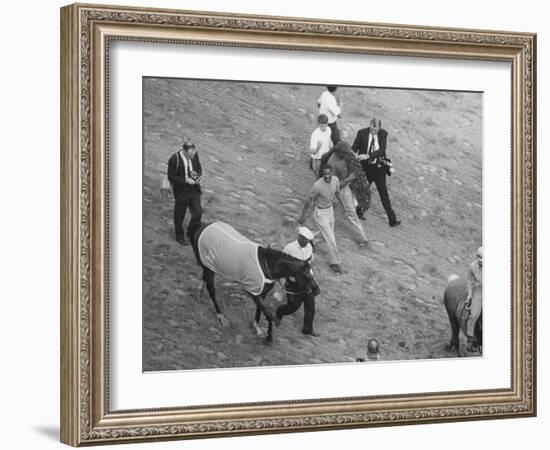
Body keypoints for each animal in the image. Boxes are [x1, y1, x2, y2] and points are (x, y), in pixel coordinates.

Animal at [189, 220, 322, 342]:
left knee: (204, 278)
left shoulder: (262, 292)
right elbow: (268, 314)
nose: (317, 291)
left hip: (207, 265)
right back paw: (221, 316)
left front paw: (257, 327)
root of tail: (202, 226)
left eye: (312, 273)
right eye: (306, 275)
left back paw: (199, 292)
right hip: (209, 266)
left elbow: (260, 309)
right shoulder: (253, 291)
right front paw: (269, 337)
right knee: (211, 289)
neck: (266, 265)